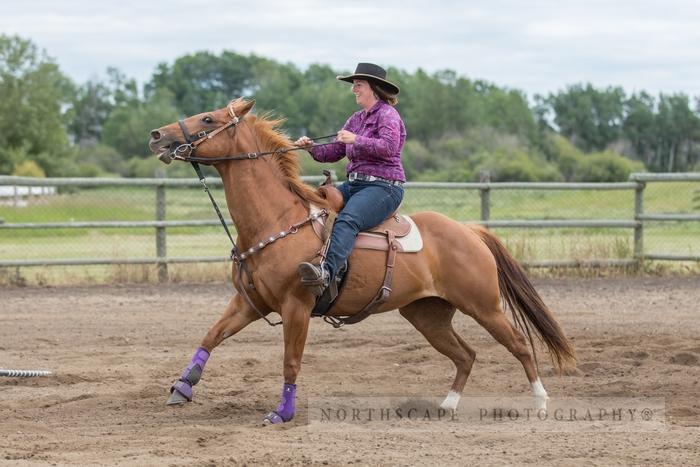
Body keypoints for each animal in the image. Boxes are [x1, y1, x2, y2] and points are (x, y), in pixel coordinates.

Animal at [148, 99, 576, 428]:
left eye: (208, 119)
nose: (156, 135)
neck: (276, 220)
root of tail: (469, 231)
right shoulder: (249, 303)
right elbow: (211, 336)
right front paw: (182, 388)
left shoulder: (296, 306)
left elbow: (290, 362)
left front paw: (282, 413)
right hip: (427, 314)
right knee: (465, 354)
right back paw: (447, 406)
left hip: (483, 305)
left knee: (519, 345)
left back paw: (540, 403)